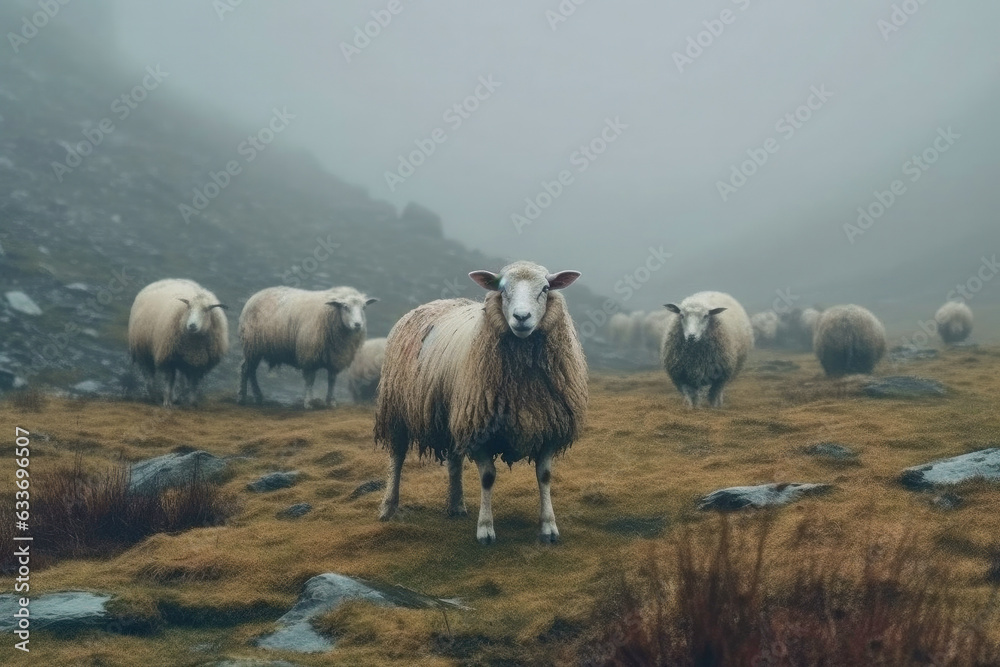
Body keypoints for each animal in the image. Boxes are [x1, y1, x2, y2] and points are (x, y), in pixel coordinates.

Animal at [128, 278, 229, 407]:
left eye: (206, 310)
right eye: (189, 307)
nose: (192, 325)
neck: (194, 343)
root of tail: (164, 280)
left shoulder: (198, 363)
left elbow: (193, 384)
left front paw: (191, 402)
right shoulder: (168, 357)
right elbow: (169, 382)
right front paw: (167, 402)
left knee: (180, 379)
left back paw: (176, 397)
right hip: (142, 350)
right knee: (149, 375)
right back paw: (153, 396)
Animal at [237, 286, 377, 408]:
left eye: (364, 307)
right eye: (345, 307)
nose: (358, 324)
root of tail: (255, 295)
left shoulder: (335, 357)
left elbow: (332, 380)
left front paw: (331, 401)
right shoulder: (309, 355)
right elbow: (310, 381)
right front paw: (308, 402)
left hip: (256, 348)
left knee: (251, 371)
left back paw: (258, 397)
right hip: (251, 345)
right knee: (245, 369)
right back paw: (242, 397)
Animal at [375, 261, 588, 545]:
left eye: (545, 288)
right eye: (502, 289)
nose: (521, 317)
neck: (524, 385)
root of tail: (435, 302)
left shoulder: (549, 427)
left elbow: (544, 476)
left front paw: (549, 528)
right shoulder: (478, 429)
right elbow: (487, 477)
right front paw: (485, 529)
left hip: (453, 412)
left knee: (453, 461)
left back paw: (456, 505)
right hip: (397, 409)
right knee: (396, 458)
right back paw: (388, 507)